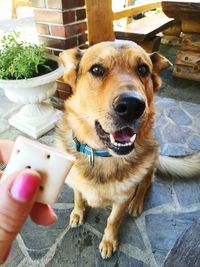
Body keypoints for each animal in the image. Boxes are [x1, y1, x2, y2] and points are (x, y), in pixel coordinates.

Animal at [56, 40, 200, 260]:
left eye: (143, 69)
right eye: (96, 69)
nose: (132, 106)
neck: (101, 155)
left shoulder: (121, 199)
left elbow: (113, 220)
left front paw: (109, 241)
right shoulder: (76, 183)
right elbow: (78, 197)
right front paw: (78, 213)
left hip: (150, 163)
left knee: (146, 183)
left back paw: (137, 203)